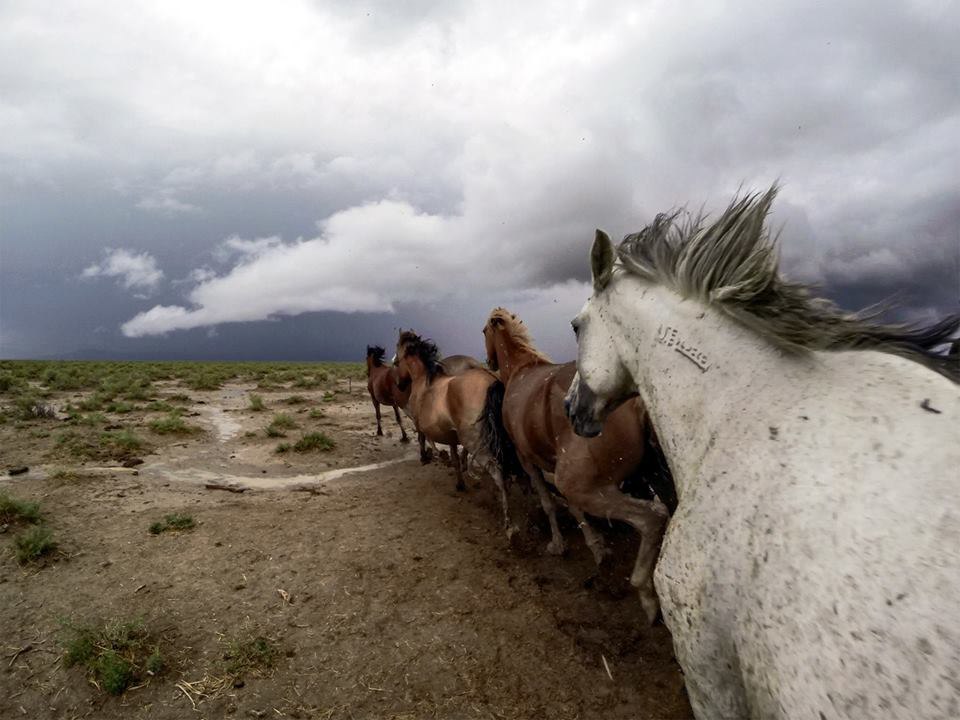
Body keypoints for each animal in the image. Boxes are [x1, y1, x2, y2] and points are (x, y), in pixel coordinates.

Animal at [398, 330, 516, 520]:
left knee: (497, 471)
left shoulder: (419, 423)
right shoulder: (451, 436)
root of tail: (490, 379)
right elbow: (454, 457)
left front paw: (426, 457)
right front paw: (460, 483)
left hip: (476, 442)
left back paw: (507, 519)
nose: (399, 384)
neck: (423, 380)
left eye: (397, 359)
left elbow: (423, 439)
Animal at [480, 306, 676, 620]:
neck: (522, 372)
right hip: (657, 474)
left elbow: (549, 503)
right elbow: (573, 510)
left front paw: (558, 545)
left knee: (653, 517)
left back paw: (647, 596)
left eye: (484, 331)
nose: (488, 360)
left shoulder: (528, 460)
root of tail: (636, 401)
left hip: (586, 485)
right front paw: (597, 548)